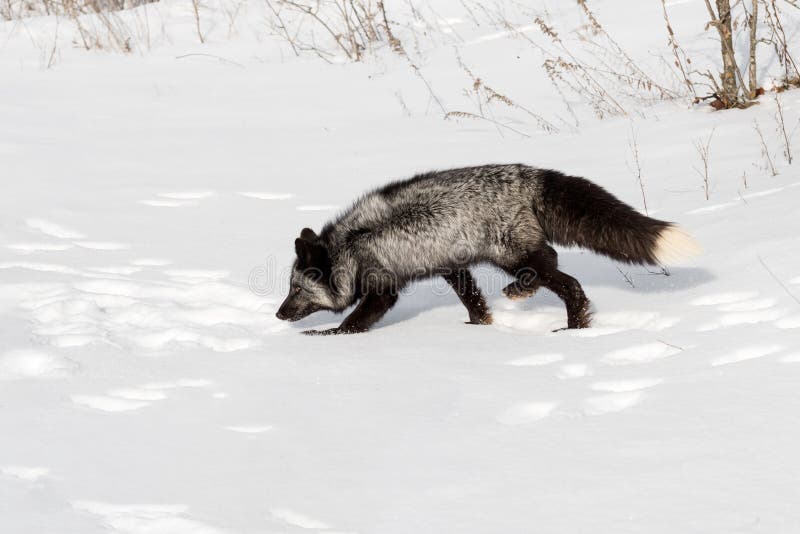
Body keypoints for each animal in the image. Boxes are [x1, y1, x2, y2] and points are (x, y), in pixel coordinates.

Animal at [275, 164, 699, 335]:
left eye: (297, 289)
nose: (278, 314)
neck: (348, 248)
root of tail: (531, 175)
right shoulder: (451, 266)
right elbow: (473, 302)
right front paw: (480, 328)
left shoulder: (384, 288)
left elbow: (354, 322)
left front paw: (329, 336)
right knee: (557, 270)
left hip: (510, 254)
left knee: (564, 278)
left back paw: (565, 322)